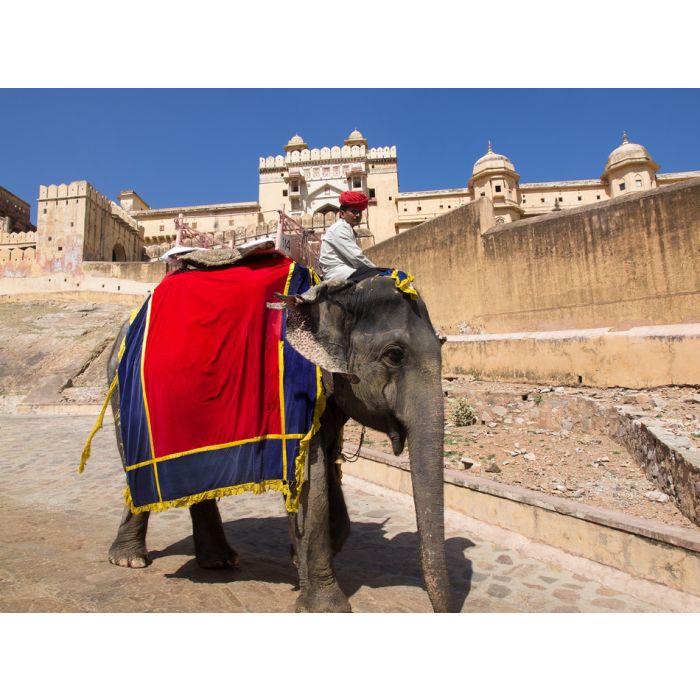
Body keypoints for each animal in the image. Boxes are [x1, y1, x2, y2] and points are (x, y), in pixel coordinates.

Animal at [106, 270, 452, 608]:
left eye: (441, 345)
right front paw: (325, 606)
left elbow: (327, 477)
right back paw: (130, 560)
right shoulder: (296, 393)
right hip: (125, 397)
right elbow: (312, 480)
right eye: (394, 355)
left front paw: (297, 560)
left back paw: (218, 561)